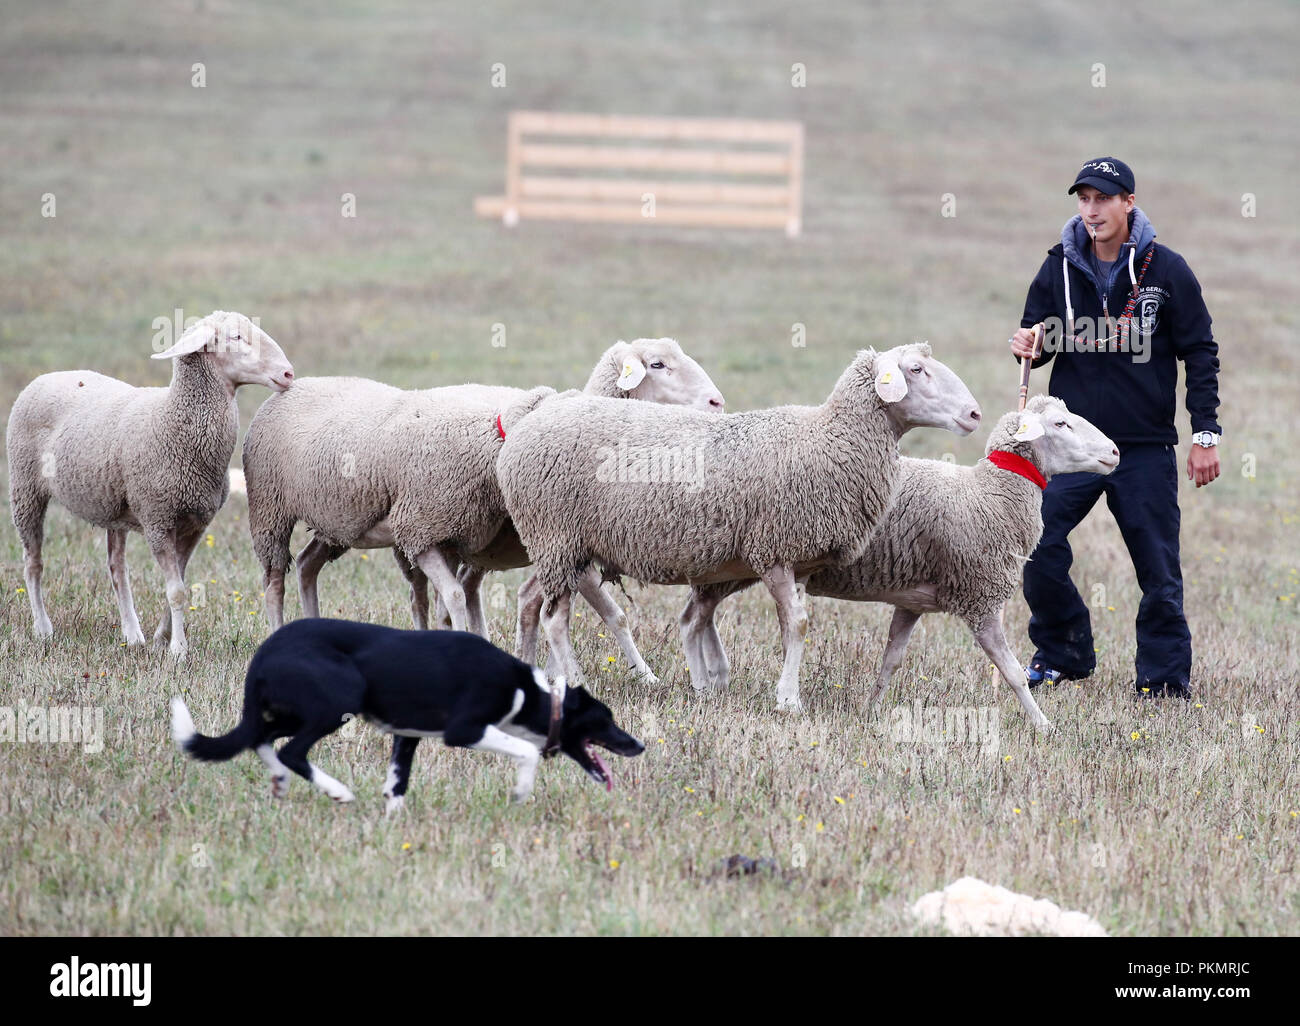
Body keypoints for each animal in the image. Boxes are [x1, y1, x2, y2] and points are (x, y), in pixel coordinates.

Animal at [6, 308, 295, 652]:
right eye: (235, 337)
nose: (289, 374)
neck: (172, 420)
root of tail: (46, 376)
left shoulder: (194, 525)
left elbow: (179, 584)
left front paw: (161, 638)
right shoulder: (158, 520)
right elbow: (177, 592)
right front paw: (179, 650)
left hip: (113, 507)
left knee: (117, 567)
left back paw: (132, 634)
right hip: (25, 488)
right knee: (33, 562)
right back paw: (43, 627)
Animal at [243, 338, 722, 681]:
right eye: (657, 365)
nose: (717, 402)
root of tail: (294, 386)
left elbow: (609, 614)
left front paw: (643, 676)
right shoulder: (434, 530)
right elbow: (466, 600)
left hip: (339, 523)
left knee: (308, 565)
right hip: (271, 510)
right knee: (275, 580)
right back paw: (278, 636)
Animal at [491, 340, 977, 707]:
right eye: (916, 369)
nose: (974, 414)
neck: (828, 439)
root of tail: (531, 419)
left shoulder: (798, 561)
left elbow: (786, 625)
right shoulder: (774, 549)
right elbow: (797, 625)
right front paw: (788, 700)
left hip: (566, 547)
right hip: (555, 536)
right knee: (555, 619)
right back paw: (576, 681)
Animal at [681, 395, 1118, 728]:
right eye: (1061, 424)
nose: (1114, 452)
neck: (988, 493)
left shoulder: (911, 602)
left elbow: (890, 661)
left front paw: (870, 708)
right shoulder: (981, 599)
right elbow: (1012, 673)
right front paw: (1043, 724)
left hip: (730, 566)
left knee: (699, 614)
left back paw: (713, 680)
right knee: (695, 618)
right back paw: (709, 685)